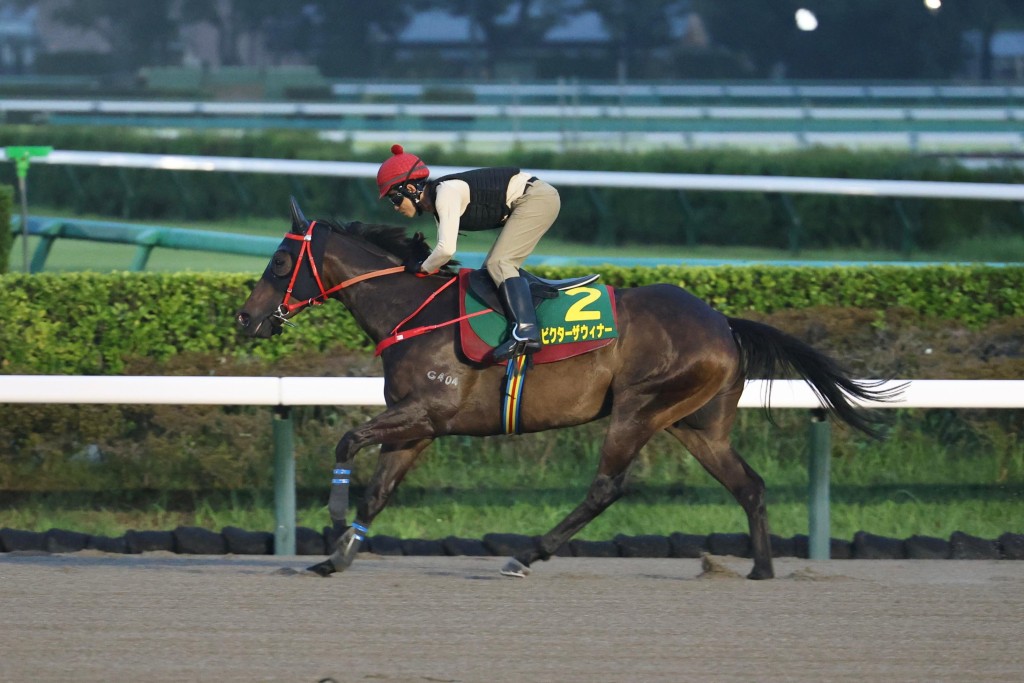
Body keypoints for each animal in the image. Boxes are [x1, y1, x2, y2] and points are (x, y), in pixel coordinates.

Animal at [235, 200, 901, 581]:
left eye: (277, 265)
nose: (246, 318)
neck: (413, 310)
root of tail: (724, 323)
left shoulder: (427, 411)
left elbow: (348, 443)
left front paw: (333, 519)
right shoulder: (418, 423)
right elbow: (379, 492)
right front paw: (337, 555)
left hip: (639, 407)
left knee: (606, 487)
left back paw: (526, 555)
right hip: (695, 424)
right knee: (750, 485)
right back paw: (761, 570)